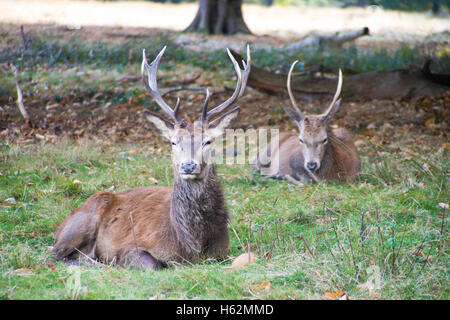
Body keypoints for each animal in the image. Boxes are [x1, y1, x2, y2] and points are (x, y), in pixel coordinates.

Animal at [53, 45, 251, 270]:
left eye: (208, 141)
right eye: (173, 142)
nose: (188, 166)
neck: (190, 244)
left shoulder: (222, 252)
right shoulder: (131, 245)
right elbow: (153, 264)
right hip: (81, 223)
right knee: (56, 254)